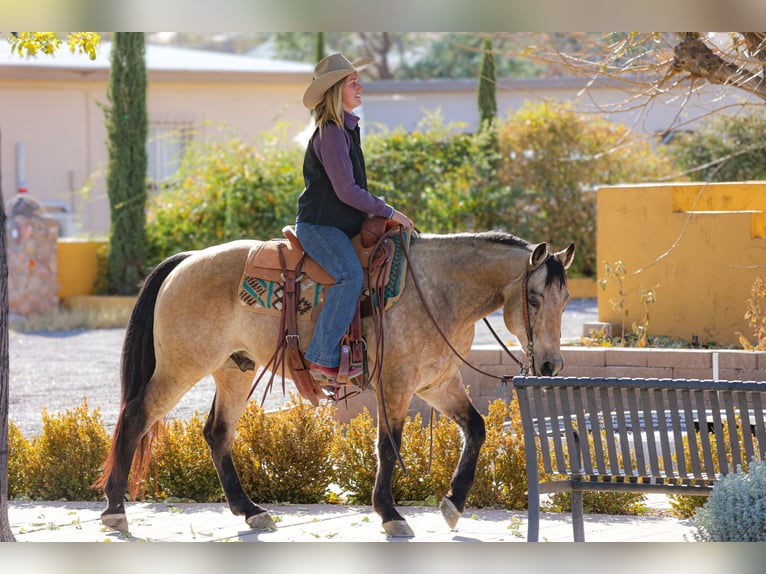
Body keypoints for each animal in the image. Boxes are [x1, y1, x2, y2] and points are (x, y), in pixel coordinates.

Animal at [94, 230, 576, 540]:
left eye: (566, 299)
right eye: (535, 300)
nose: (550, 363)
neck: (438, 291)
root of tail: (186, 260)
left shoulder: (437, 382)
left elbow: (475, 428)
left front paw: (453, 505)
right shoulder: (397, 383)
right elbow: (388, 446)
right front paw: (389, 513)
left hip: (235, 369)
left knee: (217, 433)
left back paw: (251, 512)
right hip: (181, 367)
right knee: (135, 418)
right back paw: (116, 510)